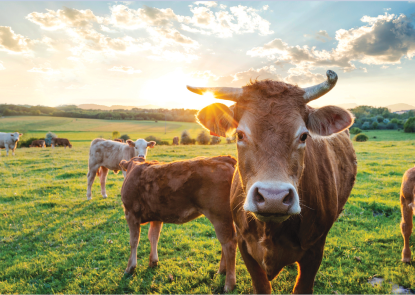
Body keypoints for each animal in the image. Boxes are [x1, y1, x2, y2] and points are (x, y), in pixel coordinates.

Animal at [119, 156, 237, 292]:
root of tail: (223, 158)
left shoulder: (130, 213)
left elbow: (133, 241)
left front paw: (130, 268)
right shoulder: (156, 216)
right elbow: (153, 237)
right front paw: (153, 261)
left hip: (219, 216)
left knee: (229, 244)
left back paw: (228, 284)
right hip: (225, 218)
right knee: (225, 243)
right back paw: (221, 271)